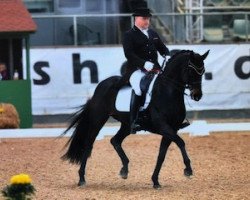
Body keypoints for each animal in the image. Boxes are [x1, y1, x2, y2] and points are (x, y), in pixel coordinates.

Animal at [61, 49, 209, 189]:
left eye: (203, 71)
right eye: (190, 70)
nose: (197, 95)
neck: (167, 93)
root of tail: (101, 85)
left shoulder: (171, 129)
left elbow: (161, 155)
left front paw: (155, 181)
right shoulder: (163, 126)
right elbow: (181, 142)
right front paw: (188, 170)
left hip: (126, 125)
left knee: (115, 140)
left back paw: (124, 170)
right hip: (98, 119)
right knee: (88, 145)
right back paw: (81, 179)